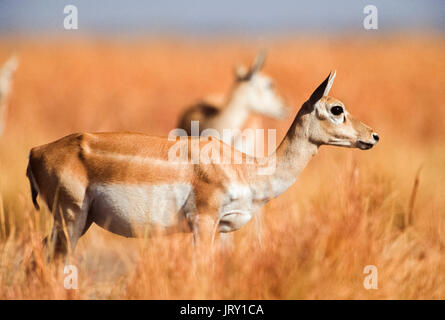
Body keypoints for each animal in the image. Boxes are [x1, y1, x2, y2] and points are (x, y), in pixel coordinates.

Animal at [25, 69, 378, 258]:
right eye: (336, 108)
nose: (373, 136)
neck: (246, 168)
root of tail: (36, 151)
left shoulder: (221, 230)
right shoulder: (203, 223)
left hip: (79, 222)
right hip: (70, 219)